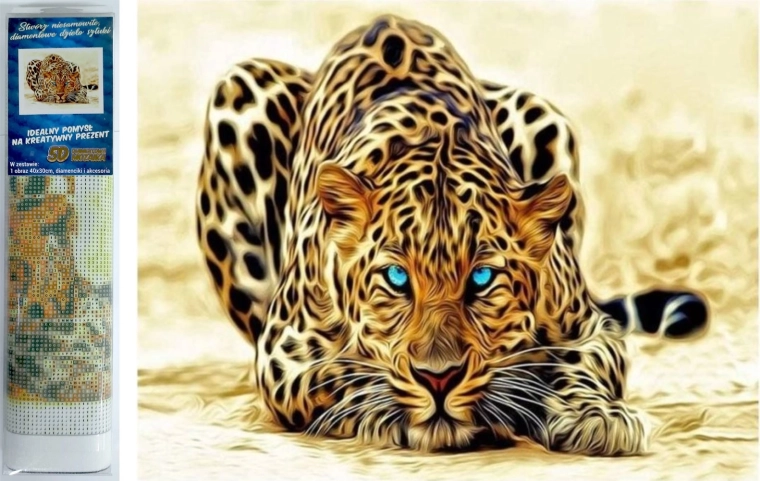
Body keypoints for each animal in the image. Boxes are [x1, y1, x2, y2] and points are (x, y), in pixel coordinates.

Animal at [195, 15, 708, 455]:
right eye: (397, 279)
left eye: (482, 279)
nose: (438, 378)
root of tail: (386, 18)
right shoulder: (284, 351)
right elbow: (343, 374)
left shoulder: (590, 328)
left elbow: (582, 365)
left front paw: (596, 416)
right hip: (240, 89)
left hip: (542, 115)